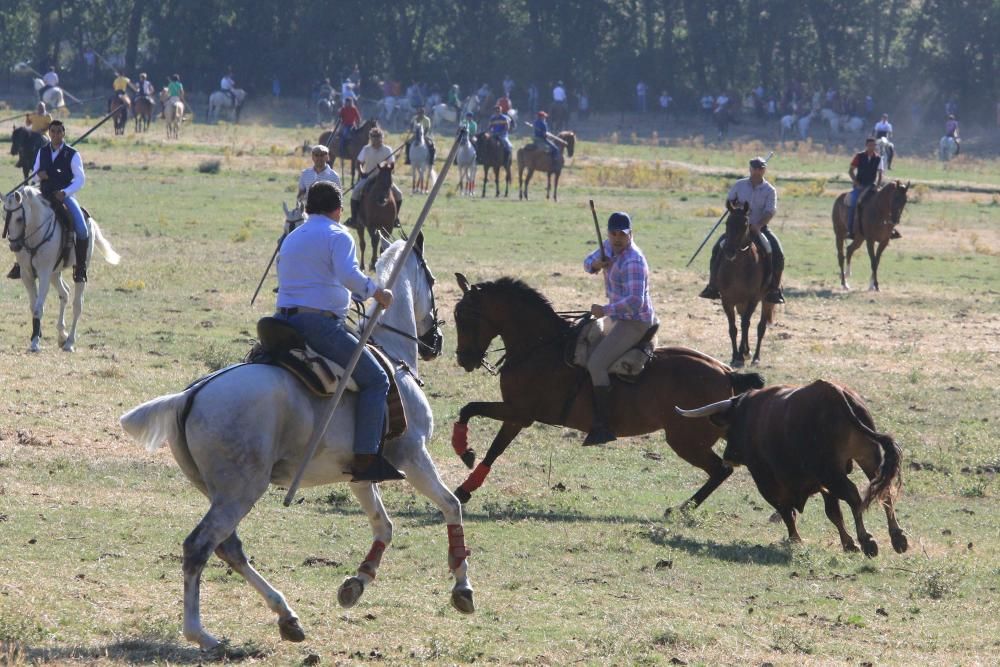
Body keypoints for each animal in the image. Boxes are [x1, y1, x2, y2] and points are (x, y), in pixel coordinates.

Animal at [2, 185, 120, 352]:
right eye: (4, 216)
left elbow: (38, 307)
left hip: (78, 270)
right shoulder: (27, 274)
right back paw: (62, 336)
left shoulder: (44, 274)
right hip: (55, 273)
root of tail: (89, 220)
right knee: (64, 293)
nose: (14, 246)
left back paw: (69, 342)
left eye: (19, 218)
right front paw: (37, 335)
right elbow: (33, 306)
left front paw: (35, 342)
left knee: (78, 305)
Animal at [119, 240, 474, 652]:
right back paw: (201, 634)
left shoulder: (360, 473)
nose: (436, 343)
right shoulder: (413, 455)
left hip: (218, 491)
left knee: (228, 547)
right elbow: (450, 505)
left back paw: (286, 617)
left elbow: (383, 526)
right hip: (241, 491)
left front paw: (356, 584)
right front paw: (463, 589)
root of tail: (189, 396)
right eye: (431, 280)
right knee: (199, 546)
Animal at [452, 274, 764, 516]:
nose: (464, 359)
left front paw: (464, 452)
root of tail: (726, 372)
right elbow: (492, 447)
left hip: (687, 440)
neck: (540, 347)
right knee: (724, 467)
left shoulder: (520, 412)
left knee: (720, 470)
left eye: (465, 317)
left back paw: (681, 509)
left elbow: (470, 409)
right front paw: (465, 487)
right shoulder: (516, 416)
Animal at [716, 201, 776, 368]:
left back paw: (755, 357)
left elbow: (745, 325)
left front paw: (740, 357)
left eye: (745, 225)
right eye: (727, 223)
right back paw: (746, 352)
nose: (729, 252)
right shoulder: (727, 300)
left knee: (760, 327)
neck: (738, 267)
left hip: (766, 300)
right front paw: (736, 356)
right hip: (740, 302)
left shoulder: (753, 299)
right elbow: (733, 328)